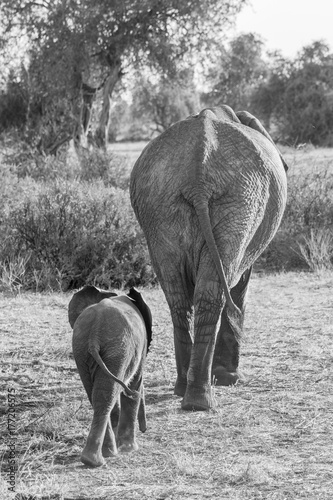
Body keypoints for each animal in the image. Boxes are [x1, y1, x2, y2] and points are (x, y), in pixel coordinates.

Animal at [68, 286, 152, 468]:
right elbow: (135, 383)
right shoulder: (140, 350)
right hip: (118, 350)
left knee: (98, 395)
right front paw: (129, 449)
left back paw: (100, 457)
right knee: (107, 395)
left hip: (83, 349)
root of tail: (95, 332)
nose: (144, 429)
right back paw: (100, 459)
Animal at [128, 104, 286, 410]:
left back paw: (185, 392)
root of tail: (197, 173)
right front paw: (230, 379)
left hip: (161, 203)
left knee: (178, 297)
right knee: (214, 292)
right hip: (240, 202)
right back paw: (201, 401)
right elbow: (240, 283)